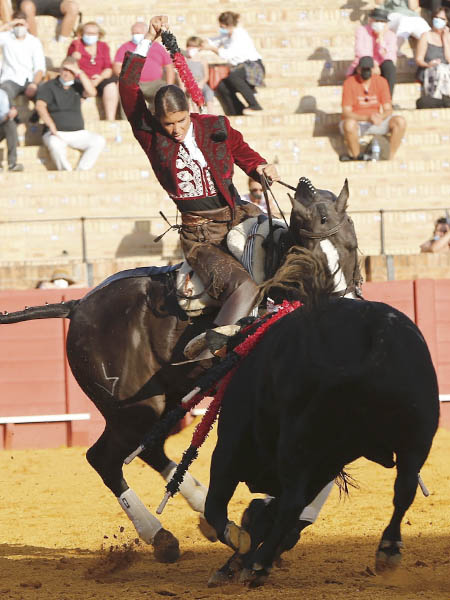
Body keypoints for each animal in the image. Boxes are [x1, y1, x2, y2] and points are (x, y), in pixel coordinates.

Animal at [0, 176, 360, 560]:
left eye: (350, 243)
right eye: (304, 255)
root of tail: (78, 305)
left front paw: (269, 517)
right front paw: (271, 518)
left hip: (165, 401)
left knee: (149, 449)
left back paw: (212, 517)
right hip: (135, 408)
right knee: (105, 458)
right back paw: (162, 535)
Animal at [204, 298, 440, 584]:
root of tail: (378, 330)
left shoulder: (230, 444)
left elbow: (217, 505)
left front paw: (238, 554)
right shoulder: (325, 465)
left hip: (297, 444)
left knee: (290, 504)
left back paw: (260, 565)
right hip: (415, 440)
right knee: (404, 489)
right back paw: (388, 550)